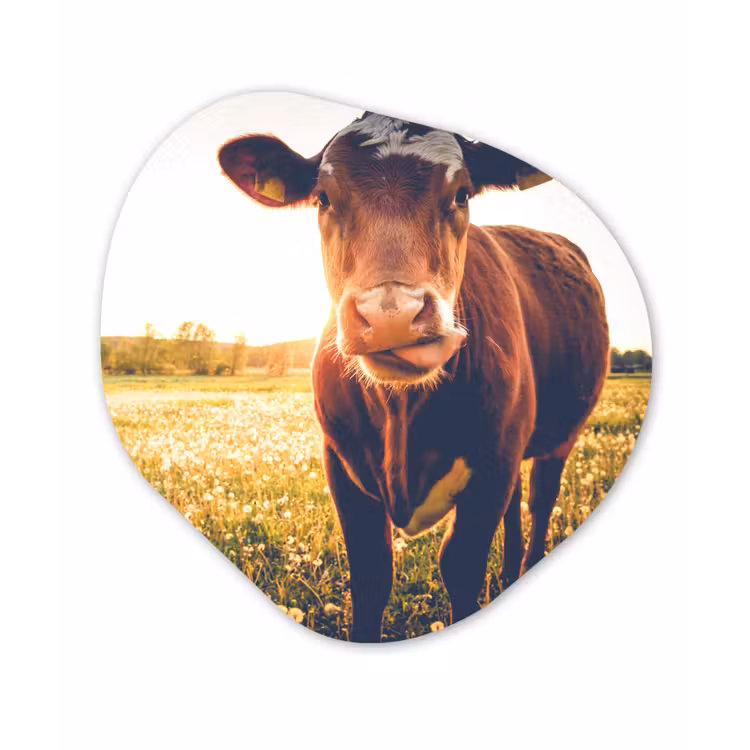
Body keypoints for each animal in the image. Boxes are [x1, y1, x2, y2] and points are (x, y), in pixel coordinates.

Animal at [218, 111, 610, 642]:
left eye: (462, 194)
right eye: (323, 198)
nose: (392, 315)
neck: (402, 413)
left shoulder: (493, 463)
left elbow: (460, 566)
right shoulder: (340, 463)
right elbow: (371, 575)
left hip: (557, 439)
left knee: (539, 503)